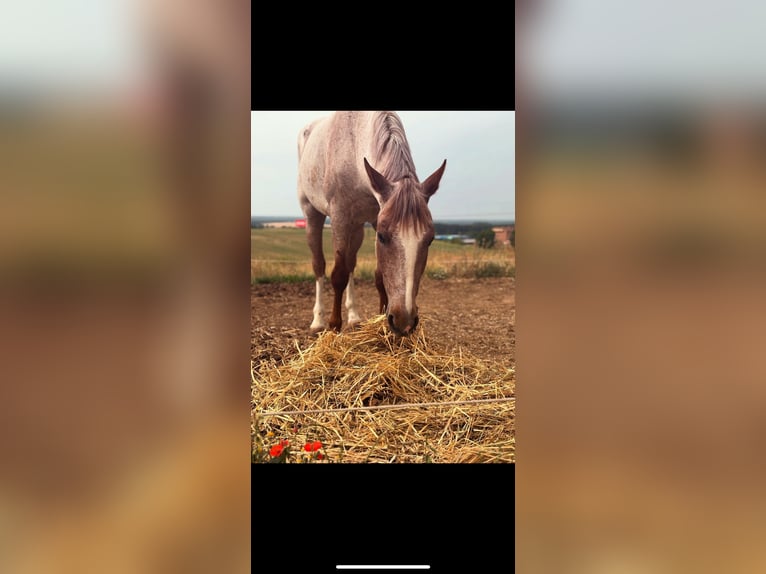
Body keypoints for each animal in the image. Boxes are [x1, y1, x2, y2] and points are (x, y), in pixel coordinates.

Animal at [297, 111, 446, 336]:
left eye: (430, 239)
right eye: (382, 237)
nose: (405, 321)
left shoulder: (375, 218)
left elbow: (377, 276)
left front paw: (381, 320)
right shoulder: (340, 217)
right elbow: (338, 273)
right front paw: (334, 325)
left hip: (357, 227)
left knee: (351, 263)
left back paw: (354, 316)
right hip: (312, 213)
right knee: (319, 265)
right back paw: (318, 320)